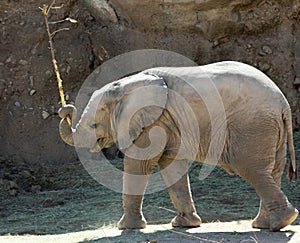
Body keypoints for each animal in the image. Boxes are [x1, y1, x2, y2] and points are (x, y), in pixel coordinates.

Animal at [58, 61, 298, 232]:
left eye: (94, 124)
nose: (64, 109)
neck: (127, 84)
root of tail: (282, 102)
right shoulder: (167, 123)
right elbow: (171, 166)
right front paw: (185, 225)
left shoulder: (154, 123)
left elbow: (139, 164)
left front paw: (125, 227)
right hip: (269, 128)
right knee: (272, 172)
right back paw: (267, 224)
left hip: (253, 126)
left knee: (253, 170)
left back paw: (280, 222)